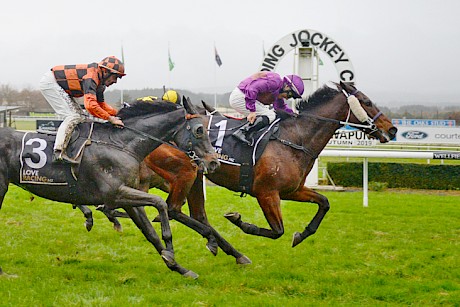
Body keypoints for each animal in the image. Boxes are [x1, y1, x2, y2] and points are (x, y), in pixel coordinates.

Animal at [0, 98, 219, 280]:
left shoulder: (129, 197)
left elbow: (150, 232)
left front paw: (178, 266)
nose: (214, 162)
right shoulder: (116, 195)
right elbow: (159, 204)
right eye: (200, 129)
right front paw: (172, 250)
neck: (122, 145)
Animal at [139, 82, 396, 260]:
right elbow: (277, 230)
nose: (392, 129)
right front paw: (239, 220)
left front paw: (301, 235)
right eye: (367, 101)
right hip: (187, 172)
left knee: (196, 214)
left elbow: (324, 203)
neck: (294, 139)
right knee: (174, 209)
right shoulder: (266, 193)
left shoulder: (292, 190)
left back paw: (231, 251)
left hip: (196, 175)